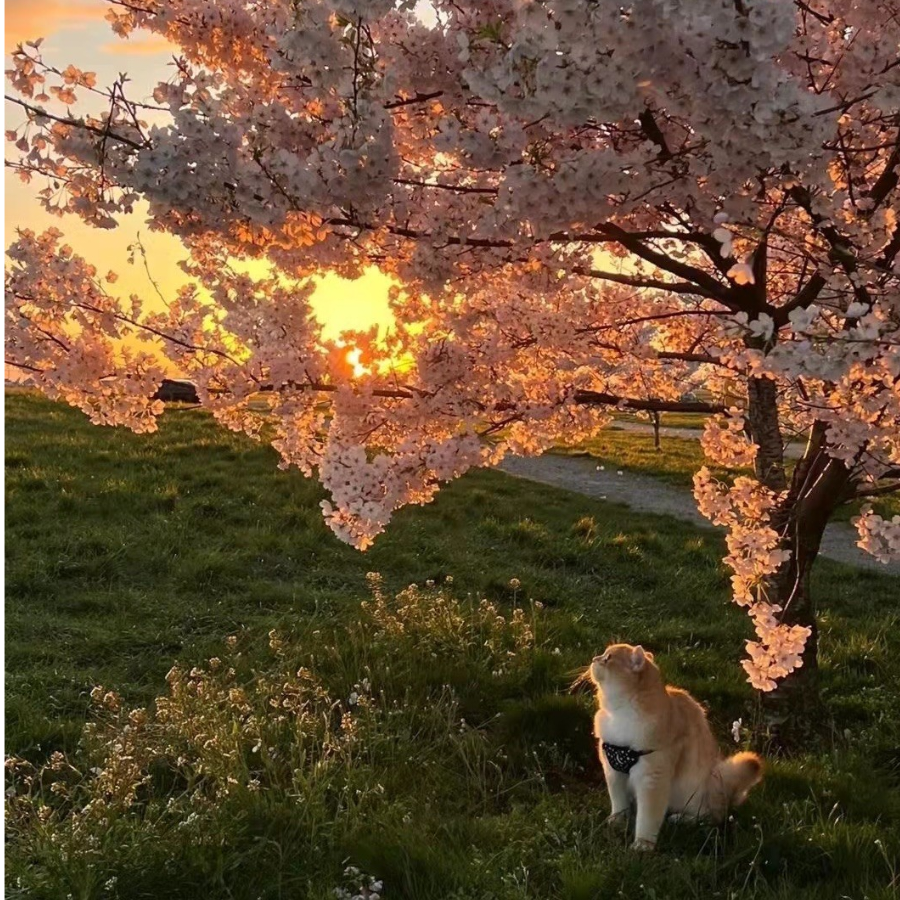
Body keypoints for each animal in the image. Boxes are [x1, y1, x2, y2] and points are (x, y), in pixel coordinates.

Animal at [588, 644, 764, 848]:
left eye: (608, 658)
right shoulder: (613, 771)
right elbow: (619, 803)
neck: (619, 713)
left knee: (711, 816)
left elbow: (648, 818)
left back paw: (680, 819)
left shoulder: (653, 779)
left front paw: (643, 844)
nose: (594, 659)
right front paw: (617, 821)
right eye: (603, 655)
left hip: (701, 792)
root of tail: (728, 793)